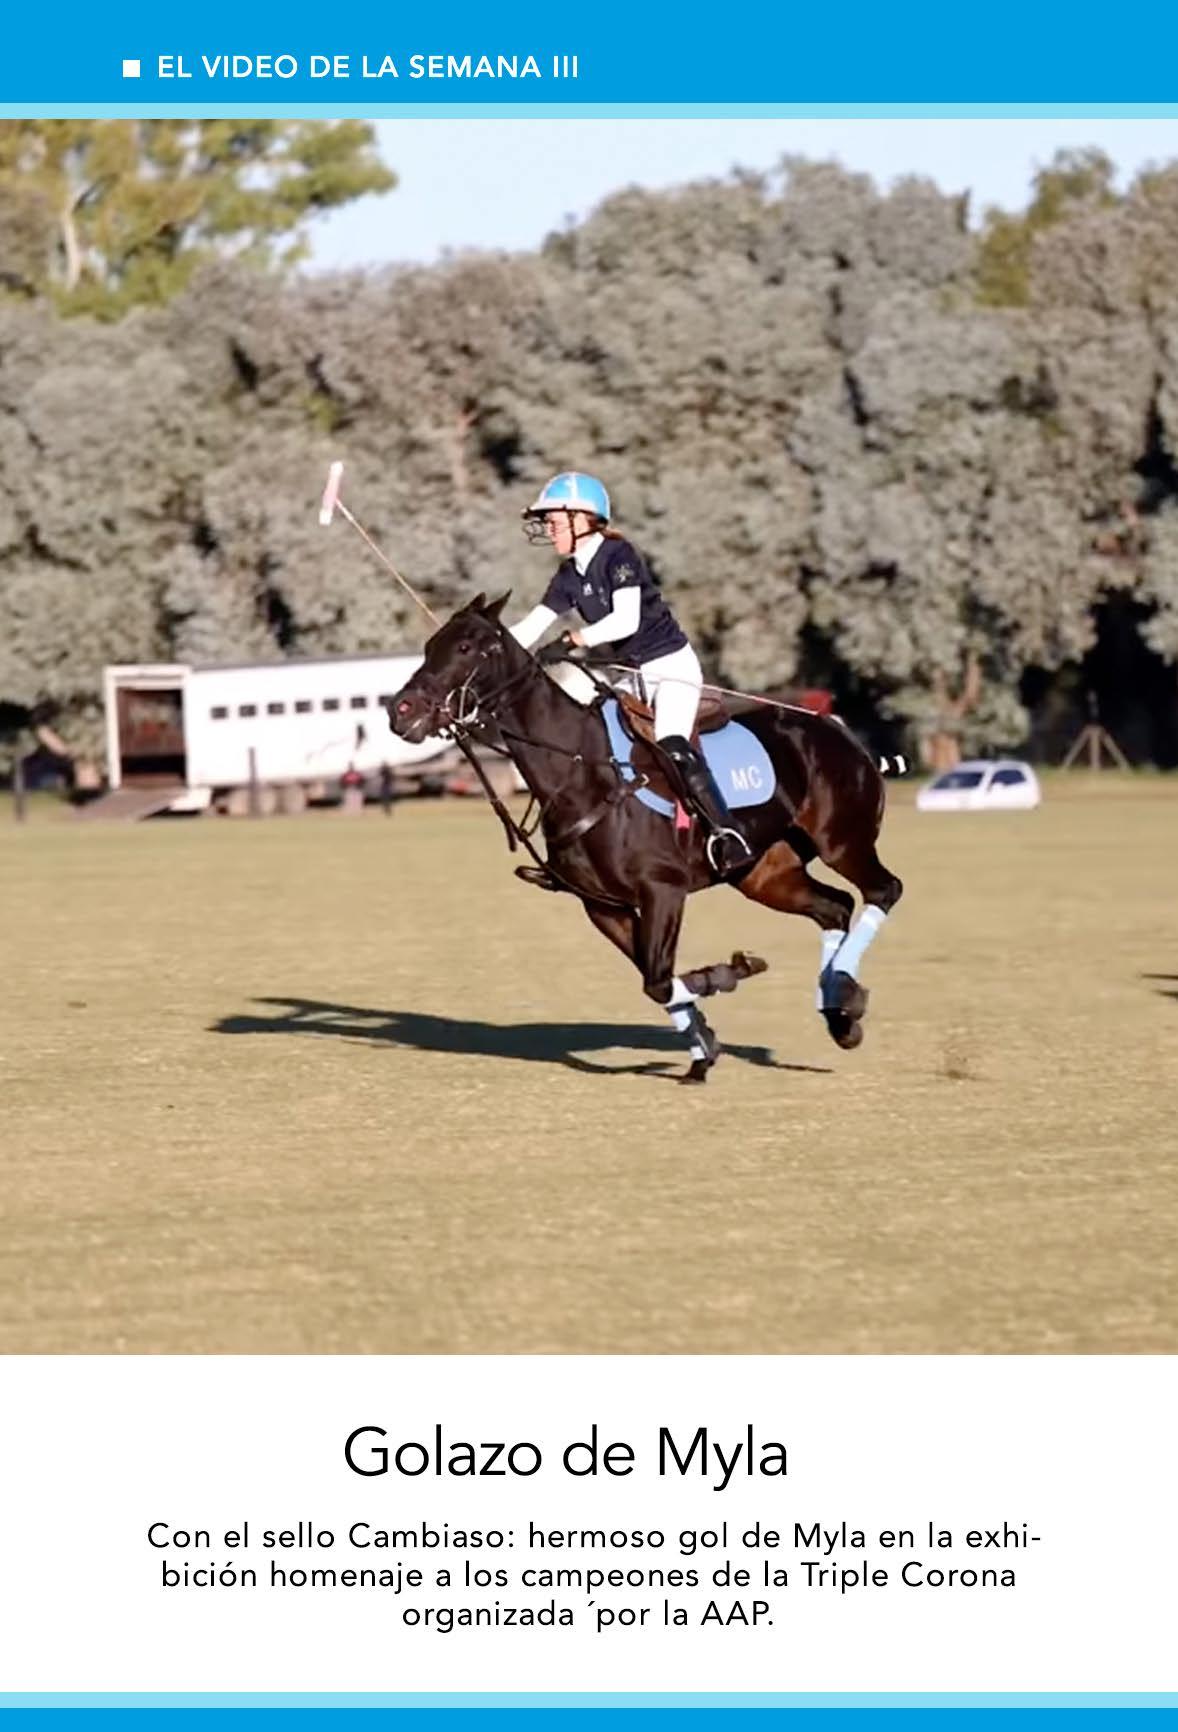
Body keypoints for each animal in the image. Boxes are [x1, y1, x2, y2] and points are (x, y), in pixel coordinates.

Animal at [387, 592, 903, 1082]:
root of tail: (843, 733)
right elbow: (654, 976)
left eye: (466, 647)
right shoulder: (602, 905)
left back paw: (844, 995)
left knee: (883, 890)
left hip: (843, 841)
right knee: (834, 906)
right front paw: (703, 1049)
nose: (400, 711)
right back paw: (840, 1010)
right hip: (763, 873)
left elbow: (658, 978)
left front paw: (728, 976)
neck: (580, 768)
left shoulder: (662, 890)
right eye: (430, 647)